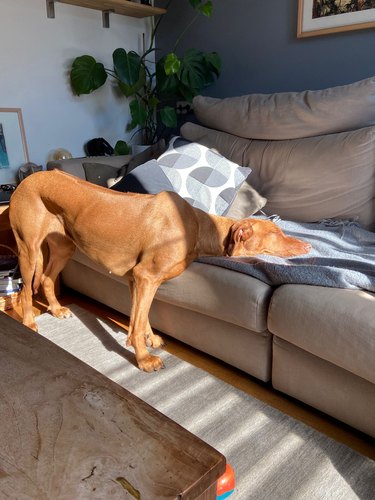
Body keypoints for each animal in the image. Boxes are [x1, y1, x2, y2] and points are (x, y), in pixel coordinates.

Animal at [8, 172, 312, 372]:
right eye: (275, 233)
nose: (308, 245)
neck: (197, 226)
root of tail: (28, 177)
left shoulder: (137, 279)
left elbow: (140, 318)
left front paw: (147, 339)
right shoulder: (146, 277)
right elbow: (139, 319)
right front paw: (143, 359)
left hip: (64, 247)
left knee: (46, 279)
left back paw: (56, 309)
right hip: (28, 248)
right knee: (24, 289)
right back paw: (29, 323)